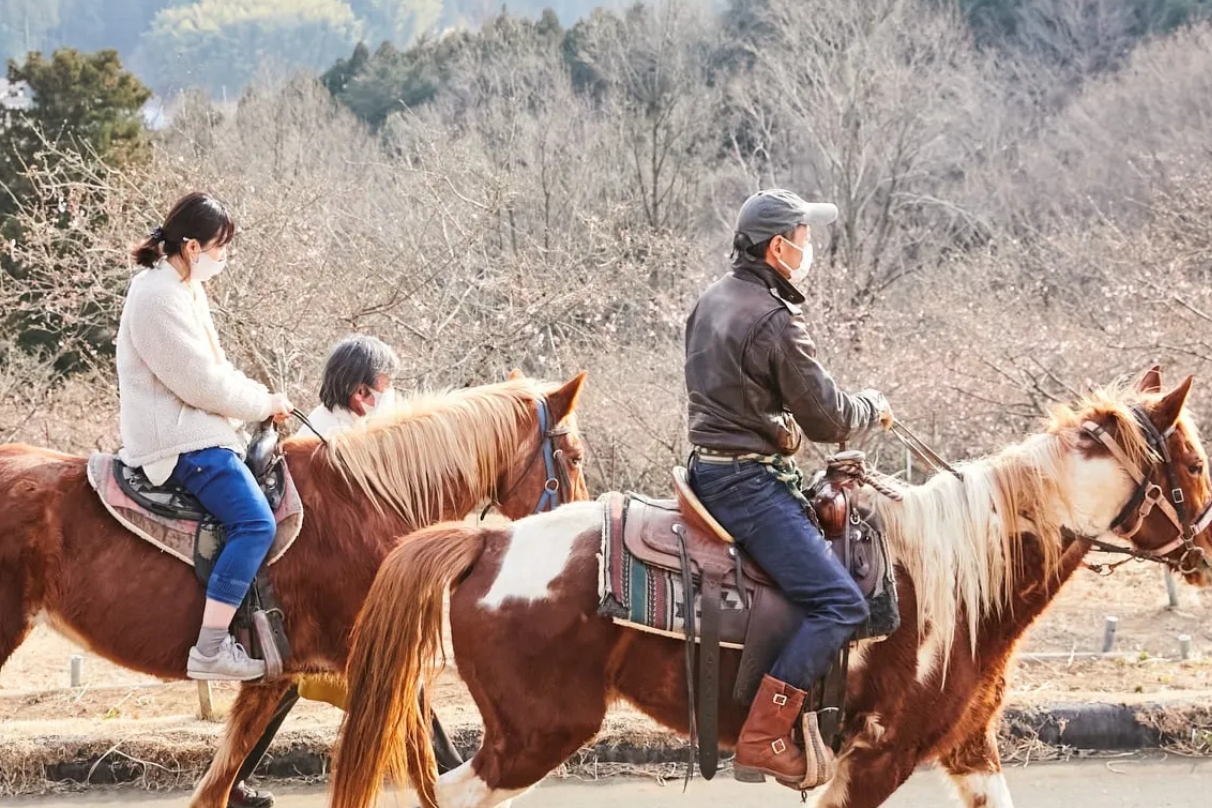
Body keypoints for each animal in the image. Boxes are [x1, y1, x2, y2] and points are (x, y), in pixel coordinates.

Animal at [327, 368, 1212, 808]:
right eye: (1197, 462)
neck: (960, 575)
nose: (1209, 549)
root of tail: (490, 538)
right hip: (535, 736)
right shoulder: (880, 757)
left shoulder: (965, 746)